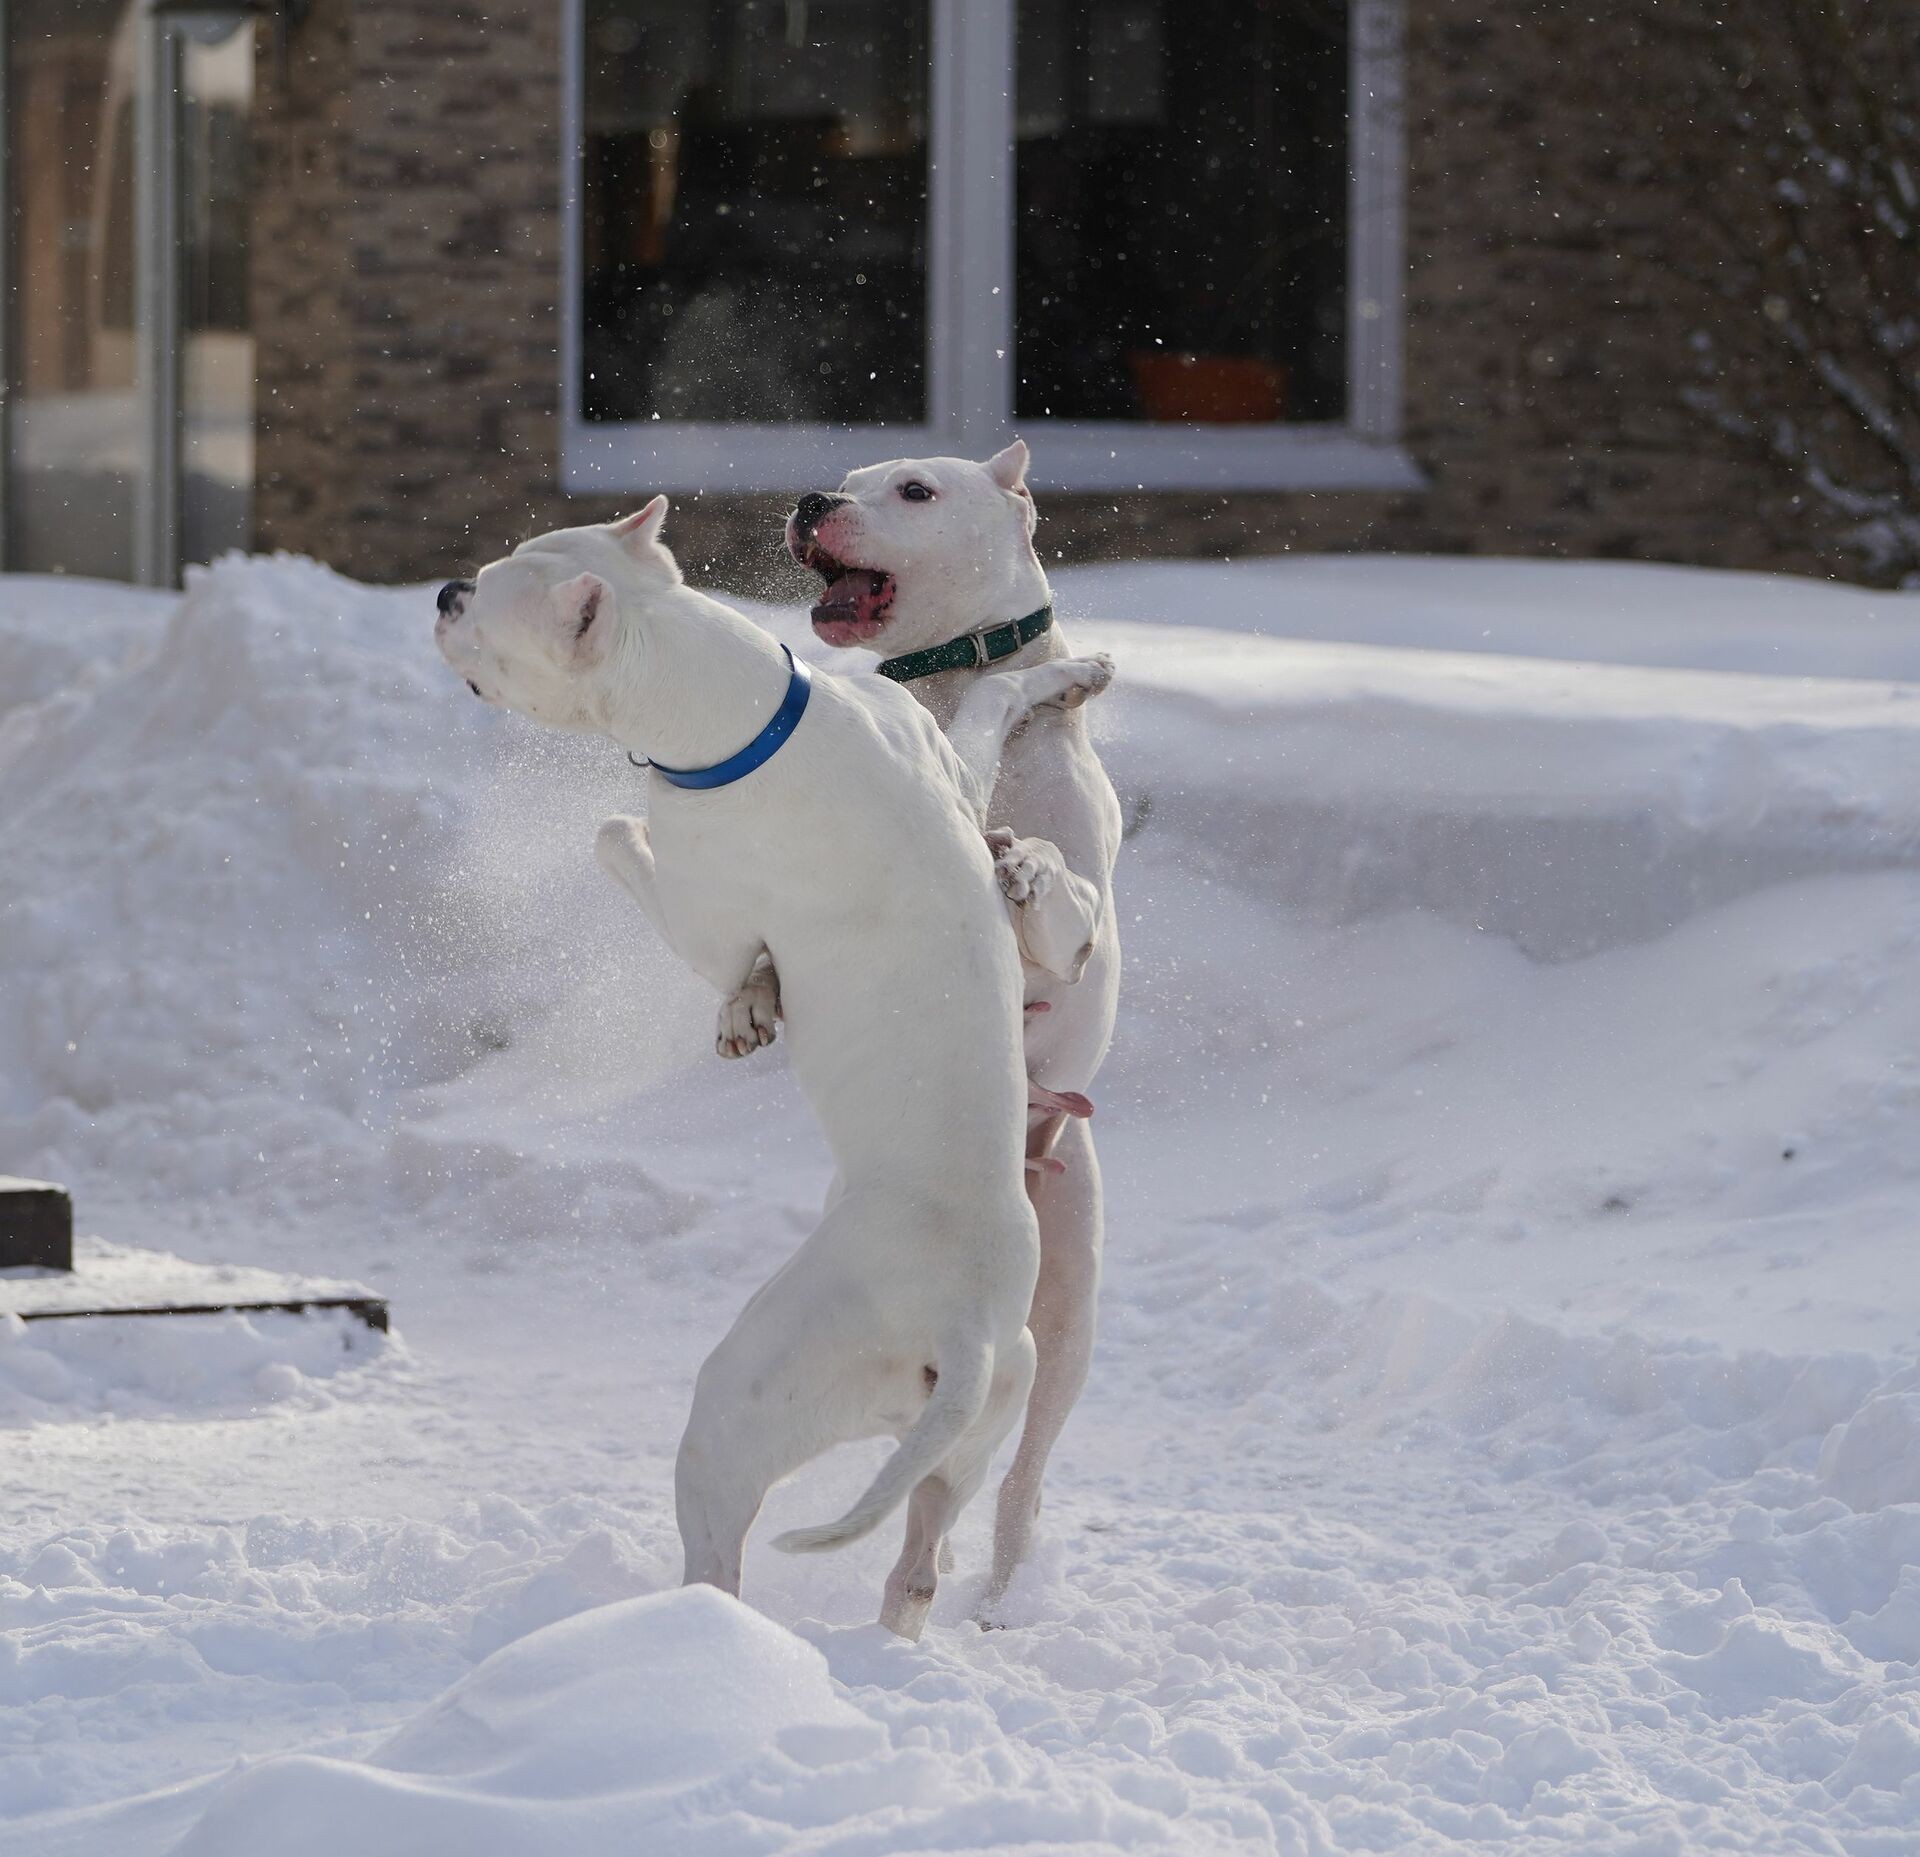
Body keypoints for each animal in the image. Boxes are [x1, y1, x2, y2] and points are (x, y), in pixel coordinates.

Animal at [435, 499, 1113, 1643]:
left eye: (488, 604)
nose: (443, 592)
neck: (750, 715)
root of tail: (967, 1329)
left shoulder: (697, 906)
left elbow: (620, 838)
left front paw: (740, 990)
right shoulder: (950, 766)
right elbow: (991, 700)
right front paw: (1071, 673)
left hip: (741, 1404)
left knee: (719, 1549)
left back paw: (684, 1635)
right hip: (974, 1430)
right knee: (920, 1556)